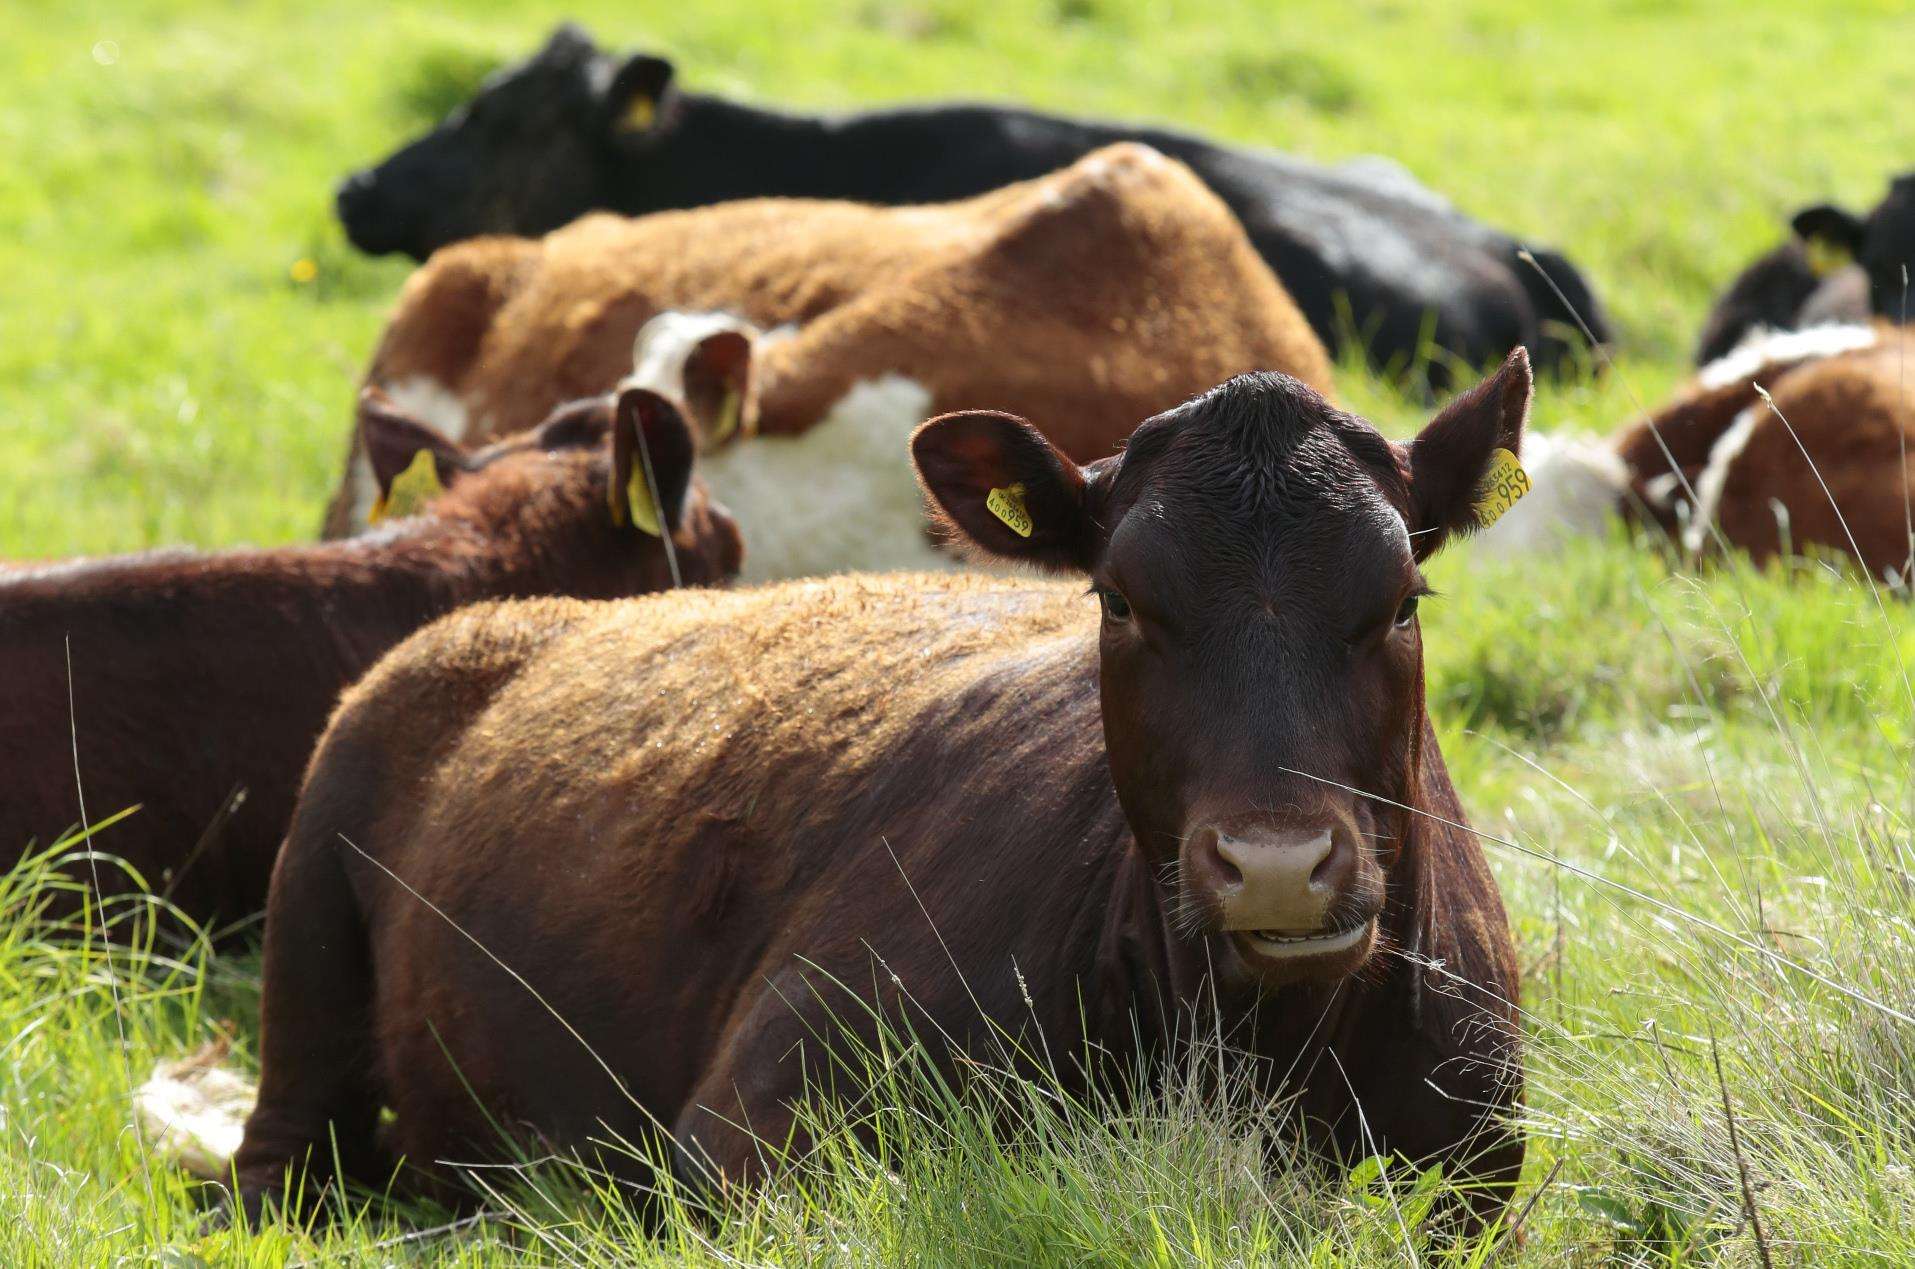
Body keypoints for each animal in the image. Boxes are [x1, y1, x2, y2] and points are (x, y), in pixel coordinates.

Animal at [231, 354, 1532, 1232]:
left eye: (1402, 598)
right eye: (1118, 598)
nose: (1273, 864)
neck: (1265, 1052)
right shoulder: (746, 1131)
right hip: (305, 942)